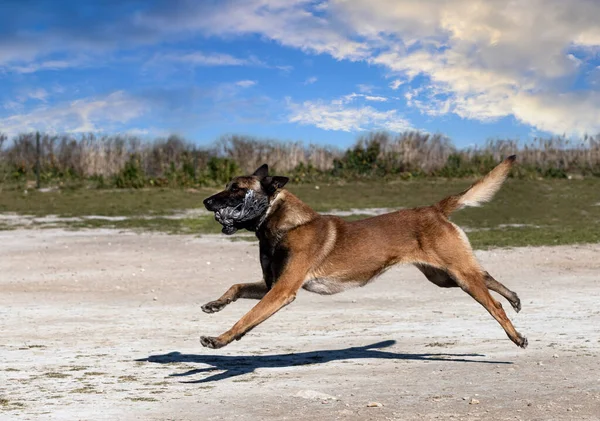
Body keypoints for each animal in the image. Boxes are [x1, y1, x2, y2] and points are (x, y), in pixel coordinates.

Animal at [200, 156, 524, 350]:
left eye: (237, 189)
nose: (206, 202)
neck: (285, 225)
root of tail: (435, 208)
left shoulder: (282, 291)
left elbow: (247, 318)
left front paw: (220, 339)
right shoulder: (271, 285)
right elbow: (236, 286)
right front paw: (216, 304)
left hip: (456, 274)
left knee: (493, 304)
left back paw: (516, 334)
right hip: (445, 277)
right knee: (486, 275)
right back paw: (514, 298)